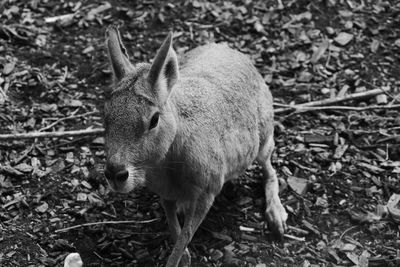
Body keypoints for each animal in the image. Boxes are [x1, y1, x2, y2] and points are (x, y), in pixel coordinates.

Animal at [103, 25, 288, 267]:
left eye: (154, 120)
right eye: (106, 115)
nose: (115, 174)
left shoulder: (206, 193)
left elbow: (186, 235)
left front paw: (178, 260)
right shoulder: (165, 194)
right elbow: (174, 228)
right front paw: (185, 257)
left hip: (264, 141)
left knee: (270, 171)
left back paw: (277, 218)